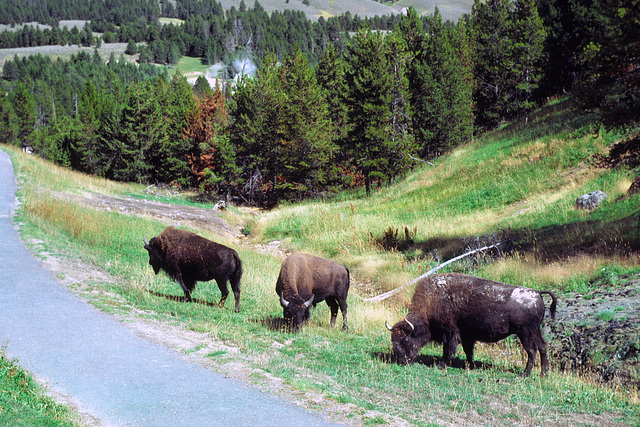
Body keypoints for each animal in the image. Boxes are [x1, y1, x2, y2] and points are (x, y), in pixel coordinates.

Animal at [388, 272, 556, 376]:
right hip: (535, 332)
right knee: (542, 346)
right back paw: (544, 373)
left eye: (405, 340)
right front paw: (470, 365)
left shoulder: (450, 333)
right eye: (393, 340)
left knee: (531, 350)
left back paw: (524, 374)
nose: (401, 362)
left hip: (525, 333)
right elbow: (468, 350)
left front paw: (442, 365)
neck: (434, 299)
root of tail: (537, 293)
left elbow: (448, 349)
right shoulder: (466, 336)